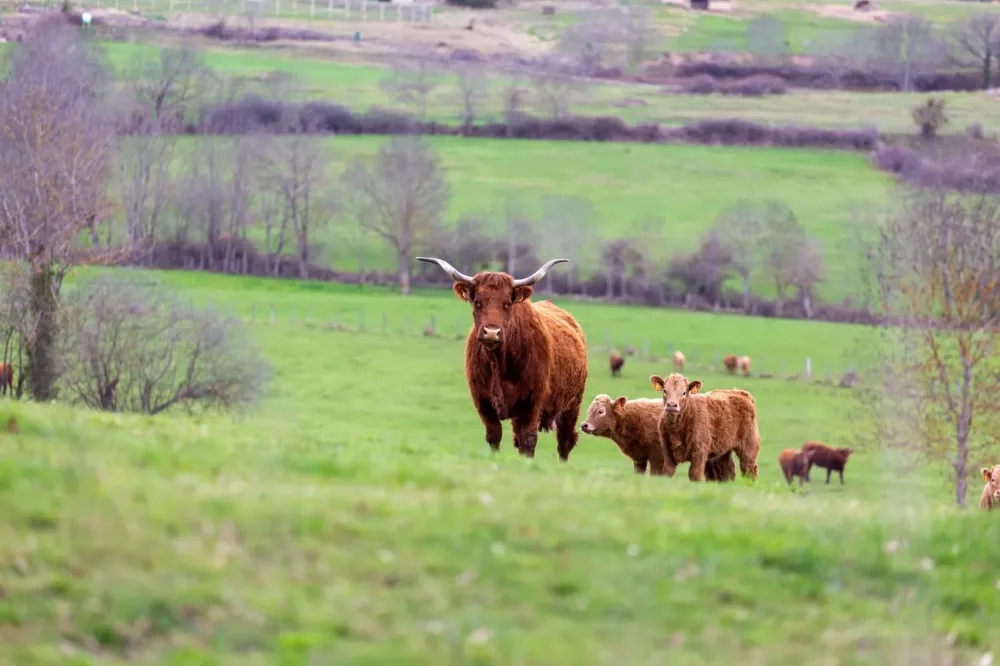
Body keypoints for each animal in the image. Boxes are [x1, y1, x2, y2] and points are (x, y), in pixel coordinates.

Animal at [417, 256, 588, 461]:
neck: (499, 364)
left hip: (573, 403)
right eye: (478, 302)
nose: (491, 332)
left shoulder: (533, 401)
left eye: (507, 304)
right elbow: (494, 435)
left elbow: (529, 438)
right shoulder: (482, 400)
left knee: (565, 440)